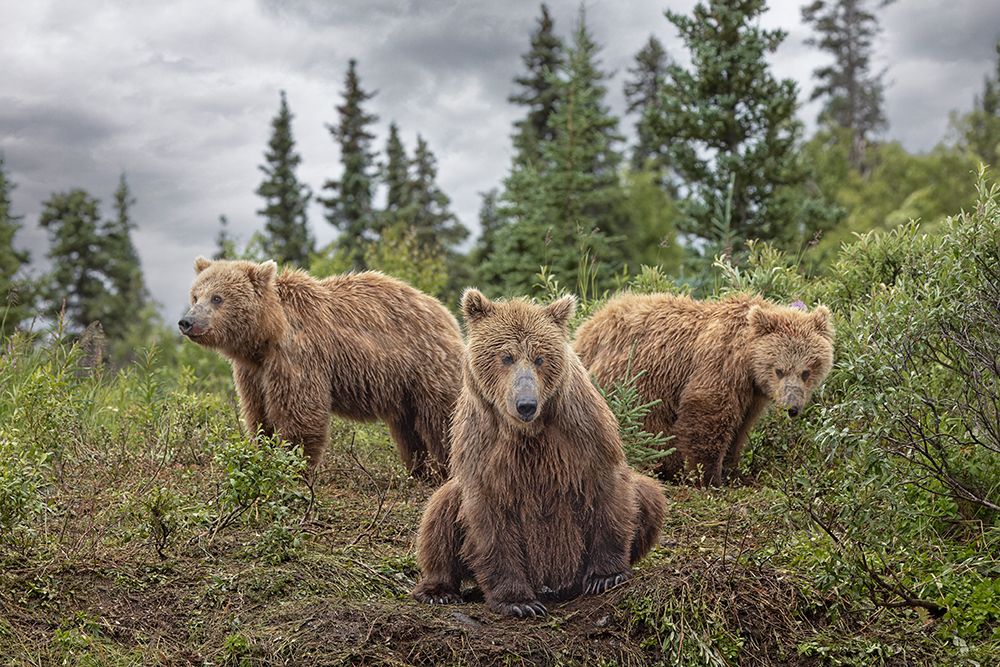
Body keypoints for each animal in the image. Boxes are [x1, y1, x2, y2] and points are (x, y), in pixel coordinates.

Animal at [179, 257, 464, 480]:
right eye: (195, 295)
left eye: (217, 298)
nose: (187, 321)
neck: (266, 335)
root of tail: (446, 313)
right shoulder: (253, 371)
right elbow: (258, 412)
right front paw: (263, 451)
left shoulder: (298, 355)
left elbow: (299, 410)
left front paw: (292, 464)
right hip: (404, 388)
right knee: (409, 430)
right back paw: (422, 471)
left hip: (426, 366)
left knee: (442, 417)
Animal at [411, 289, 667, 618]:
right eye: (506, 356)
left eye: (540, 358)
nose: (526, 404)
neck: (528, 432)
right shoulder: (484, 449)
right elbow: (490, 521)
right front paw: (519, 602)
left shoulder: (581, 431)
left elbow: (608, 490)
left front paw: (606, 576)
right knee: (440, 511)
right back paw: (439, 590)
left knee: (648, 493)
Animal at [573, 293, 834, 486]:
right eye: (779, 370)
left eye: (806, 371)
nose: (792, 407)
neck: (748, 360)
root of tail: (587, 327)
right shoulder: (720, 365)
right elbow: (707, 412)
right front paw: (707, 476)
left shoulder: (752, 395)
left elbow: (740, 427)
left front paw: (732, 470)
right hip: (631, 383)